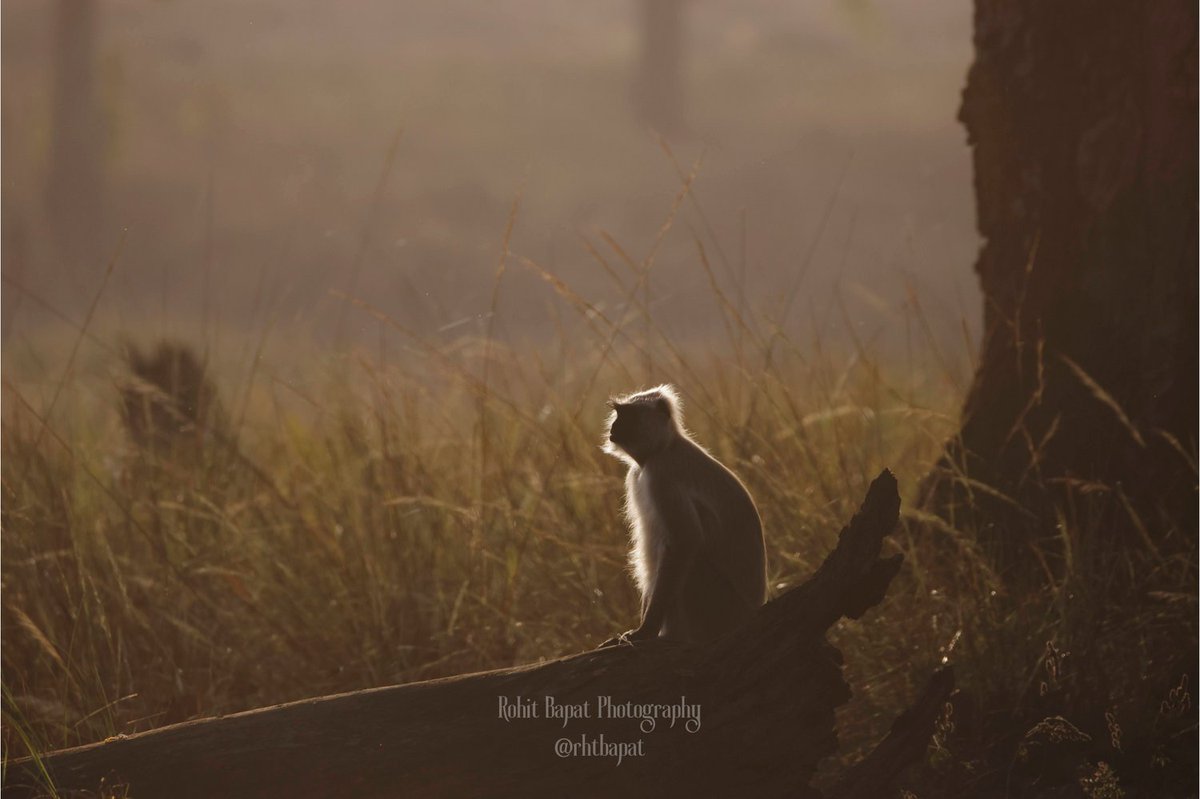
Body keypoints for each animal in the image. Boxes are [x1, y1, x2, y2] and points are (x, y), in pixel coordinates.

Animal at [600, 383, 768, 643]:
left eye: (627, 415)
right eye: (618, 414)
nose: (614, 427)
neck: (666, 446)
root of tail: (751, 613)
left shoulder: (661, 473)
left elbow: (684, 541)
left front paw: (646, 630)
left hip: (717, 608)